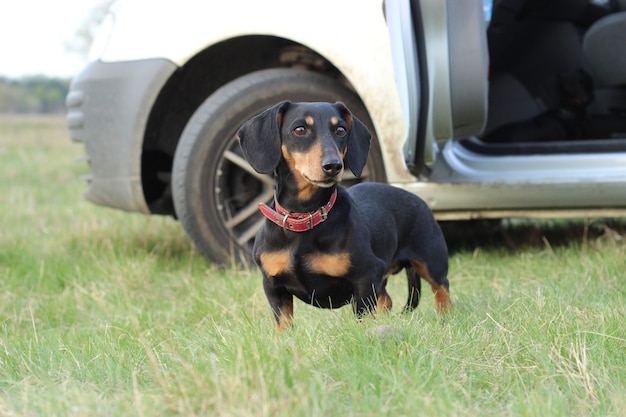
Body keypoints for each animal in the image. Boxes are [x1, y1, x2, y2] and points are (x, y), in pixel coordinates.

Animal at [235, 101, 448, 332]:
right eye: (299, 129)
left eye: (340, 130)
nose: (334, 166)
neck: (306, 218)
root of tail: (417, 198)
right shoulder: (274, 285)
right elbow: (284, 323)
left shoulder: (366, 276)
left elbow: (363, 316)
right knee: (387, 300)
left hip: (430, 261)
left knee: (442, 288)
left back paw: (445, 319)